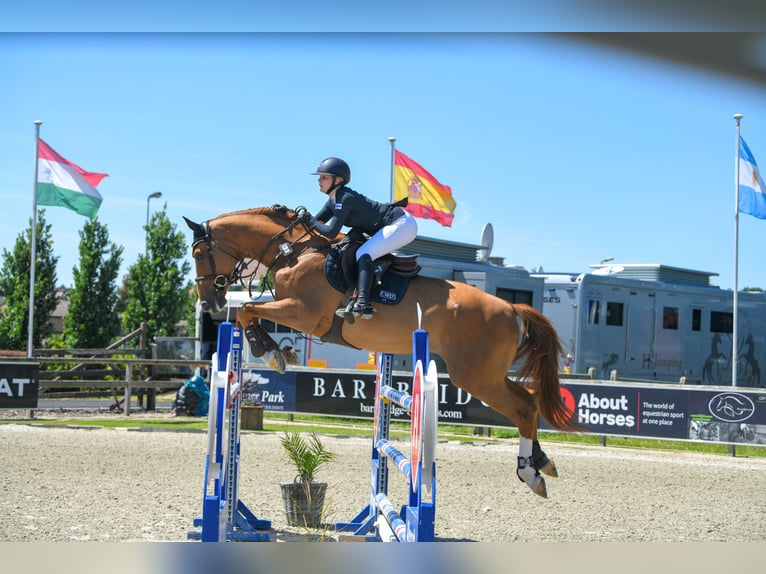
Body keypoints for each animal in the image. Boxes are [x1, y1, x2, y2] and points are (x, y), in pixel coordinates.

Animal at [186, 205, 580, 498]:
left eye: (199, 253)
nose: (208, 303)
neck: (293, 252)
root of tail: (511, 307)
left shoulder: (302, 313)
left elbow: (247, 311)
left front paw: (268, 351)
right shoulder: (294, 310)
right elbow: (247, 311)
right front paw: (272, 350)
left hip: (476, 377)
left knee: (523, 407)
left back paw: (529, 473)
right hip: (487, 375)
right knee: (529, 400)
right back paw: (542, 463)